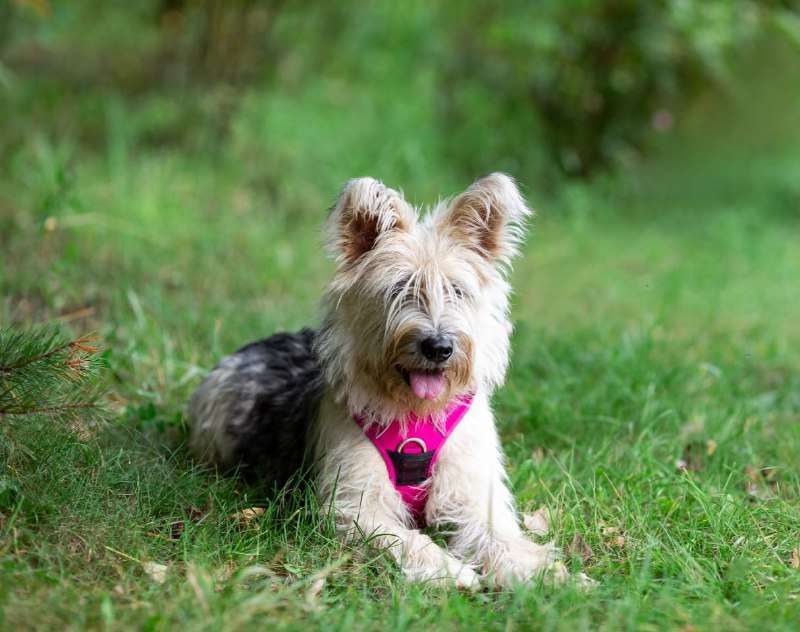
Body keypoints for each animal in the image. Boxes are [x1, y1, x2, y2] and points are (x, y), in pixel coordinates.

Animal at [188, 173, 580, 588]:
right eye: (399, 288)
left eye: (457, 290)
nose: (438, 346)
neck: (415, 413)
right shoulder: (355, 503)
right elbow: (404, 539)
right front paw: (452, 570)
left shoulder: (473, 492)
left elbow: (500, 537)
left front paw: (544, 574)